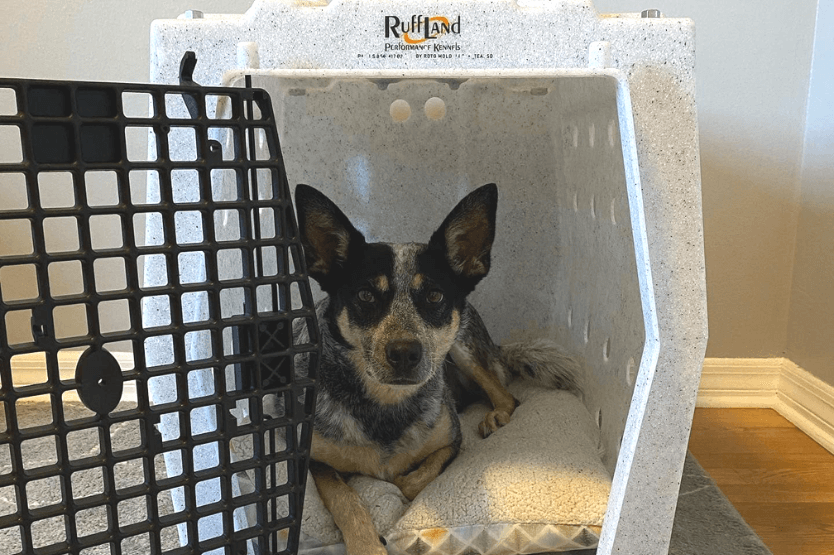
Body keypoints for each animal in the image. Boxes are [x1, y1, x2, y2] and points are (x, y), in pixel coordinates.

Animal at [290, 184, 576, 555]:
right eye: (366, 295)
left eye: (435, 296)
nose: (404, 352)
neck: (387, 404)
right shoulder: (314, 461)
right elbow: (346, 499)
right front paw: (367, 544)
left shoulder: (452, 441)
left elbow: (412, 482)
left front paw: (399, 480)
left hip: (462, 345)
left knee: (507, 395)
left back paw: (497, 414)